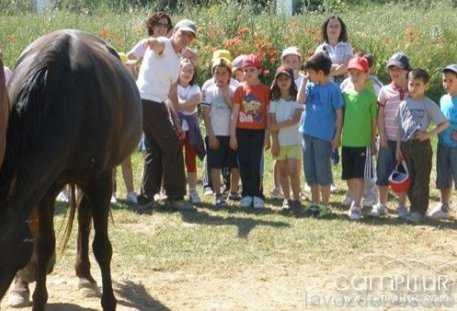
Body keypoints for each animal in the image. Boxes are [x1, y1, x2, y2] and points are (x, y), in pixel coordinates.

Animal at [0, 29, 142, 311]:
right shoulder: (46, 187)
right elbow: (44, 245)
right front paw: (38, 301)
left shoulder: (100, 180)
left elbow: (102, 247)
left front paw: (108, 301)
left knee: (86, 220)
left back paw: (86, 277)